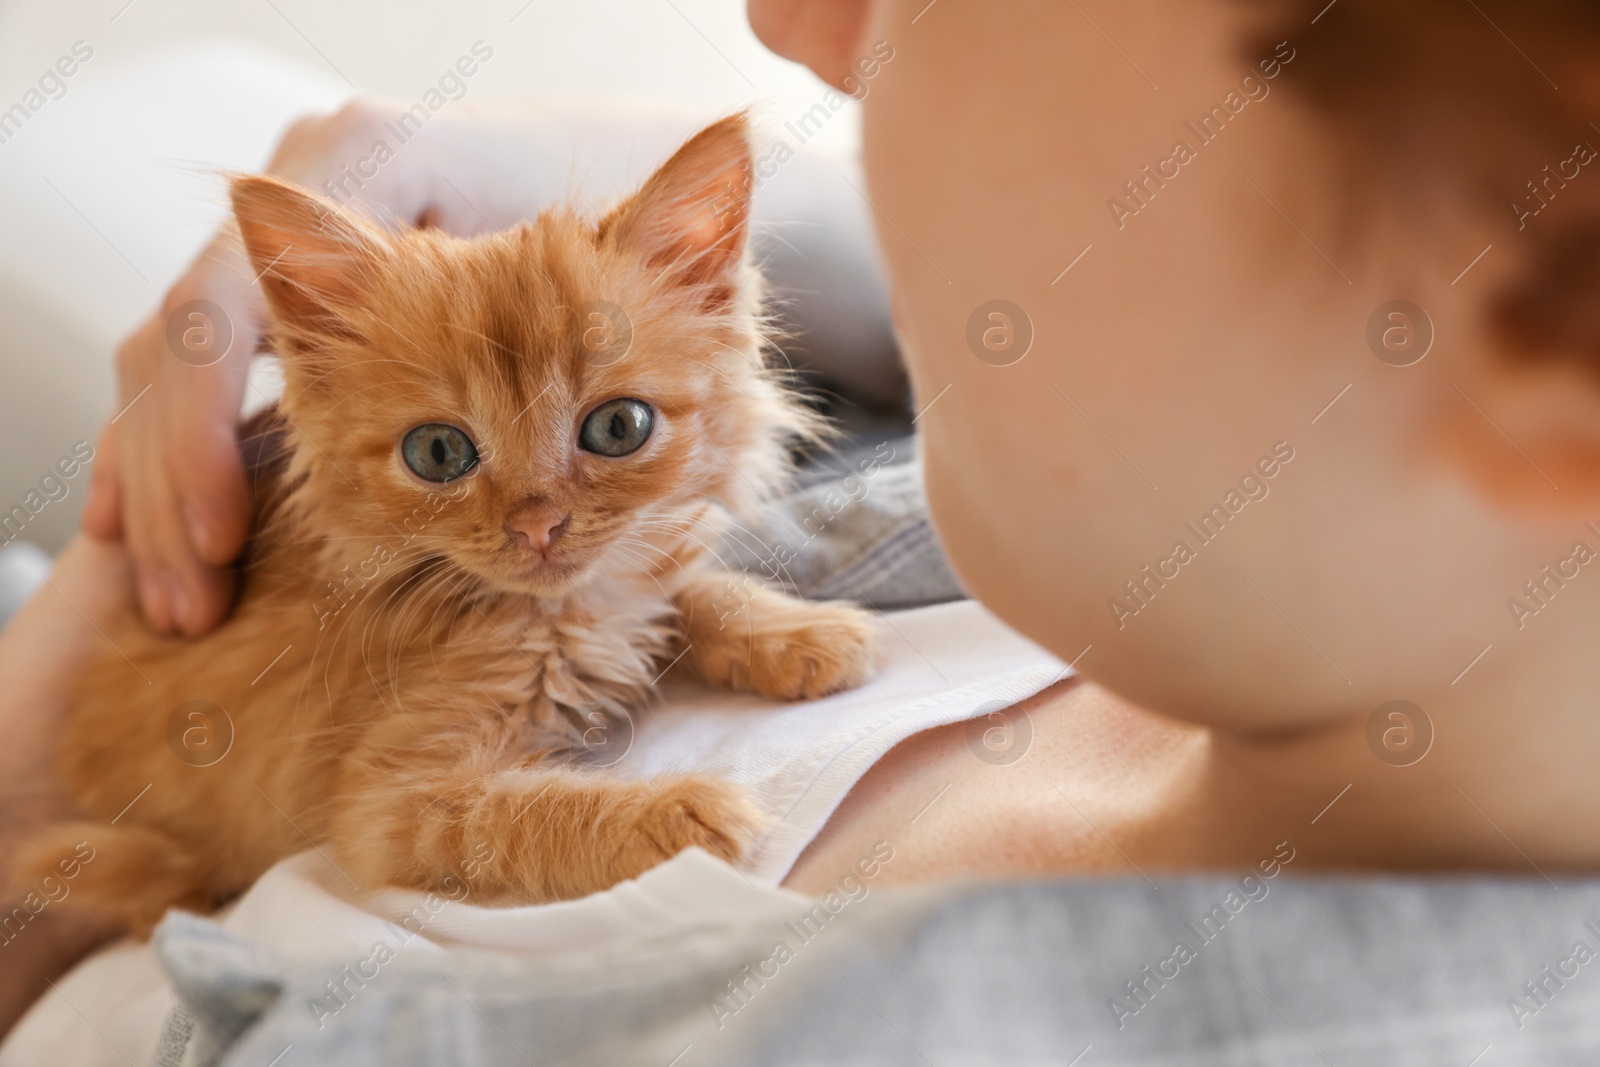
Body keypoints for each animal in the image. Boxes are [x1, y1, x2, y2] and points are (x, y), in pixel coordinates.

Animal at [12, 115, 883, 934]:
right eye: (438, 452)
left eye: (618, 427)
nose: (539, 524)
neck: (554, 614)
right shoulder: (389, 803)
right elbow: (529, 812)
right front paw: (676, 813)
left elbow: (682, 589)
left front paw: (798, 633)